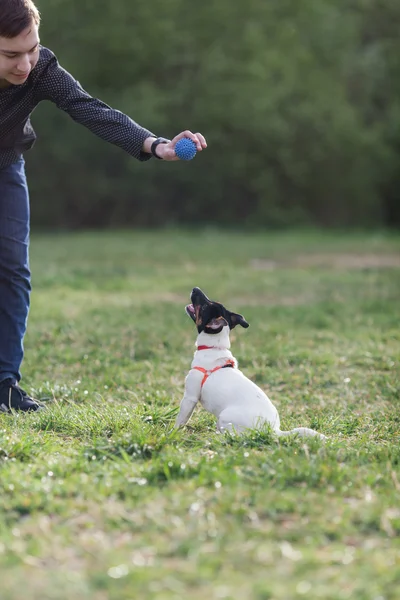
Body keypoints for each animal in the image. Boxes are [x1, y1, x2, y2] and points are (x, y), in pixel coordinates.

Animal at [177, 288, 326, 438]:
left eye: (204, 307)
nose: (195, 289)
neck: (214, 347)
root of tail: (273, 430)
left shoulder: (190, 397)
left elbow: (181, 419)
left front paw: (173, 432)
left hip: (224, 416)